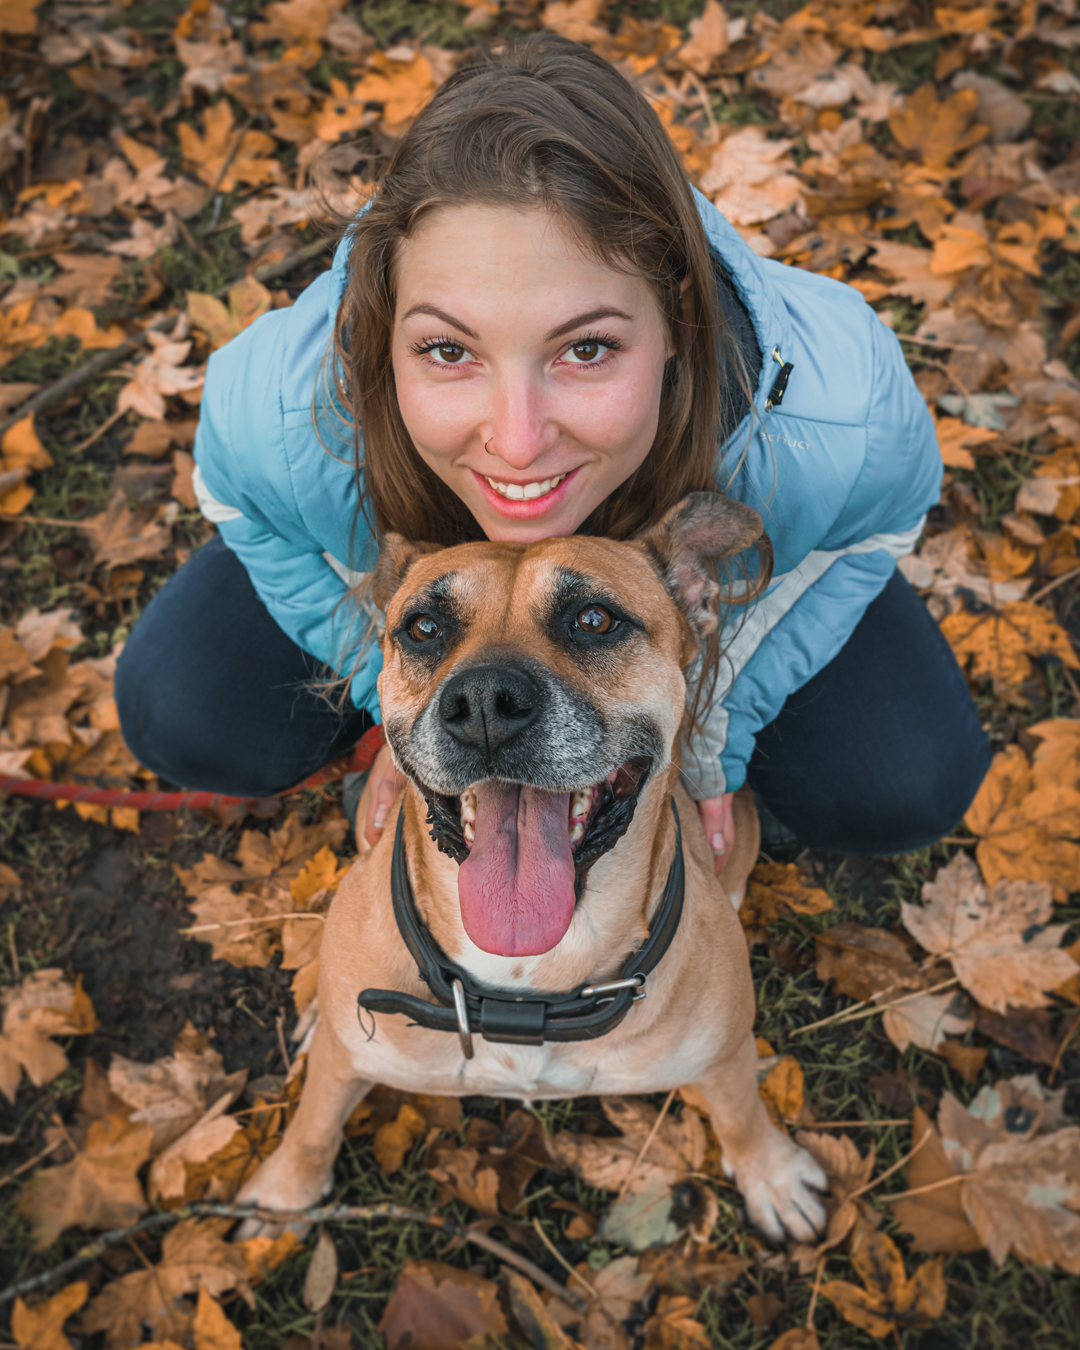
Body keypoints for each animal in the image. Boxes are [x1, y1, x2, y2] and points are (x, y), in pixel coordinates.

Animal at [238, 494, 826, 1242]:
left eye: (594, 620)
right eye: (423, 628)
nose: (485, 702)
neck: (526, 981)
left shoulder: (723, 1054)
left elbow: (742, 1109)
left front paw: (771, 1174)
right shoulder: (348, 1061)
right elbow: (315, 1122)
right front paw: (285, 1193)